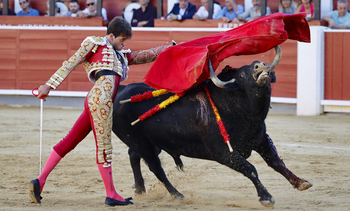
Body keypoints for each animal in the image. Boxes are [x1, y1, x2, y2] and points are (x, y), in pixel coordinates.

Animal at [112, 47, 312, 207]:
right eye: (241, 75)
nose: (260, 65)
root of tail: (120, 92)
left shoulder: (261, 139)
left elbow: (276, 161)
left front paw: (300, 182)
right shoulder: (223, 153)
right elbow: (250, 169)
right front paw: (266, 197)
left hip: (151, 143)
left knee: (133, 156)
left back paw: (140, 190)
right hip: (141, 143)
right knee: (156, 168)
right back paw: (177, 195)